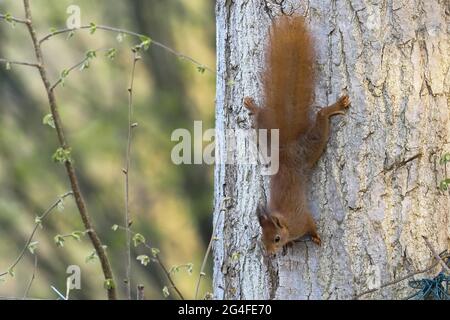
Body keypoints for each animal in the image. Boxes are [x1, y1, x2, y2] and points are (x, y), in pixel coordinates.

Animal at [244, 15, 350, 255]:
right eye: (261, 239)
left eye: (275, 238)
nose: (269, 253)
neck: (285, 222)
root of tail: (285, 150)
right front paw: (292, 243)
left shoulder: (302, 220)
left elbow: (311, 225)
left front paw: (316, 236)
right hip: (266, 138)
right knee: (260, 120)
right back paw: (253, 107)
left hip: (310, 149)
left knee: (320, 118)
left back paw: (334, 107)